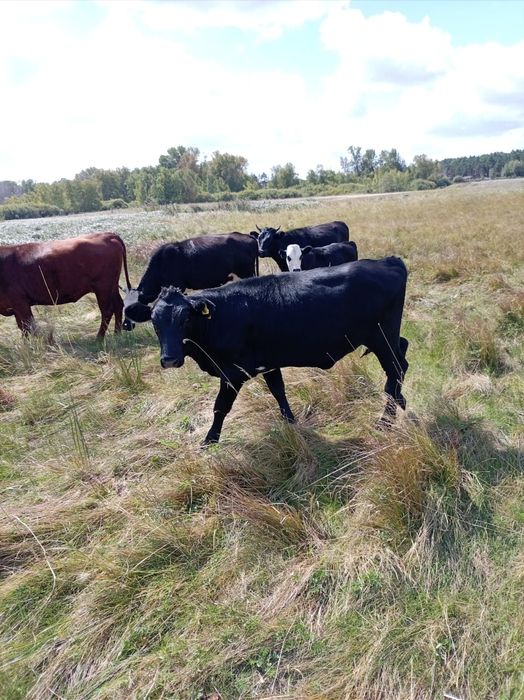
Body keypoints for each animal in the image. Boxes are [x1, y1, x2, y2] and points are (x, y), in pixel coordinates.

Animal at [0, 232, 131, 337]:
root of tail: (108, 235)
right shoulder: (16, 306)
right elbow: (22, 327)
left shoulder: (20, 302)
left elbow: (28, 327)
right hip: (112, 286)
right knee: (118, 305)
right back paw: (117, 335)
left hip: (103, 287)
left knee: (107, 310)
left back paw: (99, 338)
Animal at [124, 257, 409, 444]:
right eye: (154, 321)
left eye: (185, 319)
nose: (170, 359)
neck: (220, 316)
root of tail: (388, 261)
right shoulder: (268, 363)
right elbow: (278, 392)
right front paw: (291, 423)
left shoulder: (234, 373)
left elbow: (220, 407)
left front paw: (209, 440)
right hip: (386, 338)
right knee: (403, 355)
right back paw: (400, 404)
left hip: (382, 337)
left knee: (395, 371)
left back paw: (386, 420)